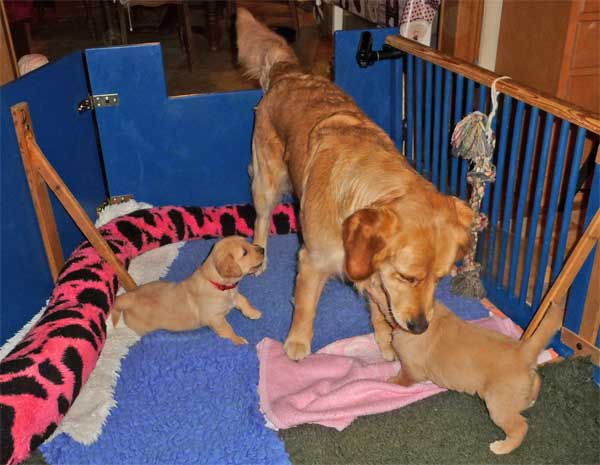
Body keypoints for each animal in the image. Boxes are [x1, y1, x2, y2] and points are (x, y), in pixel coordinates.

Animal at [111, 236, 264, 344]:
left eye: (248, 243)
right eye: (245, 252)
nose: (262, 248)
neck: (218, 284)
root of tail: (130, 297)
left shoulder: (233, 295)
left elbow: (243, 300)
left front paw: (254, 312)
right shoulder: (215, 318)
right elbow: (227, 329)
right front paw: (238, 341)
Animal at [236, 8, 474, 361]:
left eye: (440, 279)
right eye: (408, 276)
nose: (419, 327)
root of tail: (288, 72)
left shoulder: (374, 271)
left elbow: (382, 307)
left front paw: (386, 341)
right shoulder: (314, 259)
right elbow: (305, 306)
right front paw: (297, 343)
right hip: (267, 179)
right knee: (262, 219)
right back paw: (259, 256)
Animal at [389, 301, 563, 455]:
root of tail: (523, 351)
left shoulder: (411, 370)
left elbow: (402, 379)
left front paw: (390, 381)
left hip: (498, 404)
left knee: (520, 426)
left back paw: (502, 447)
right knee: (536, 382)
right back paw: (531, 400)